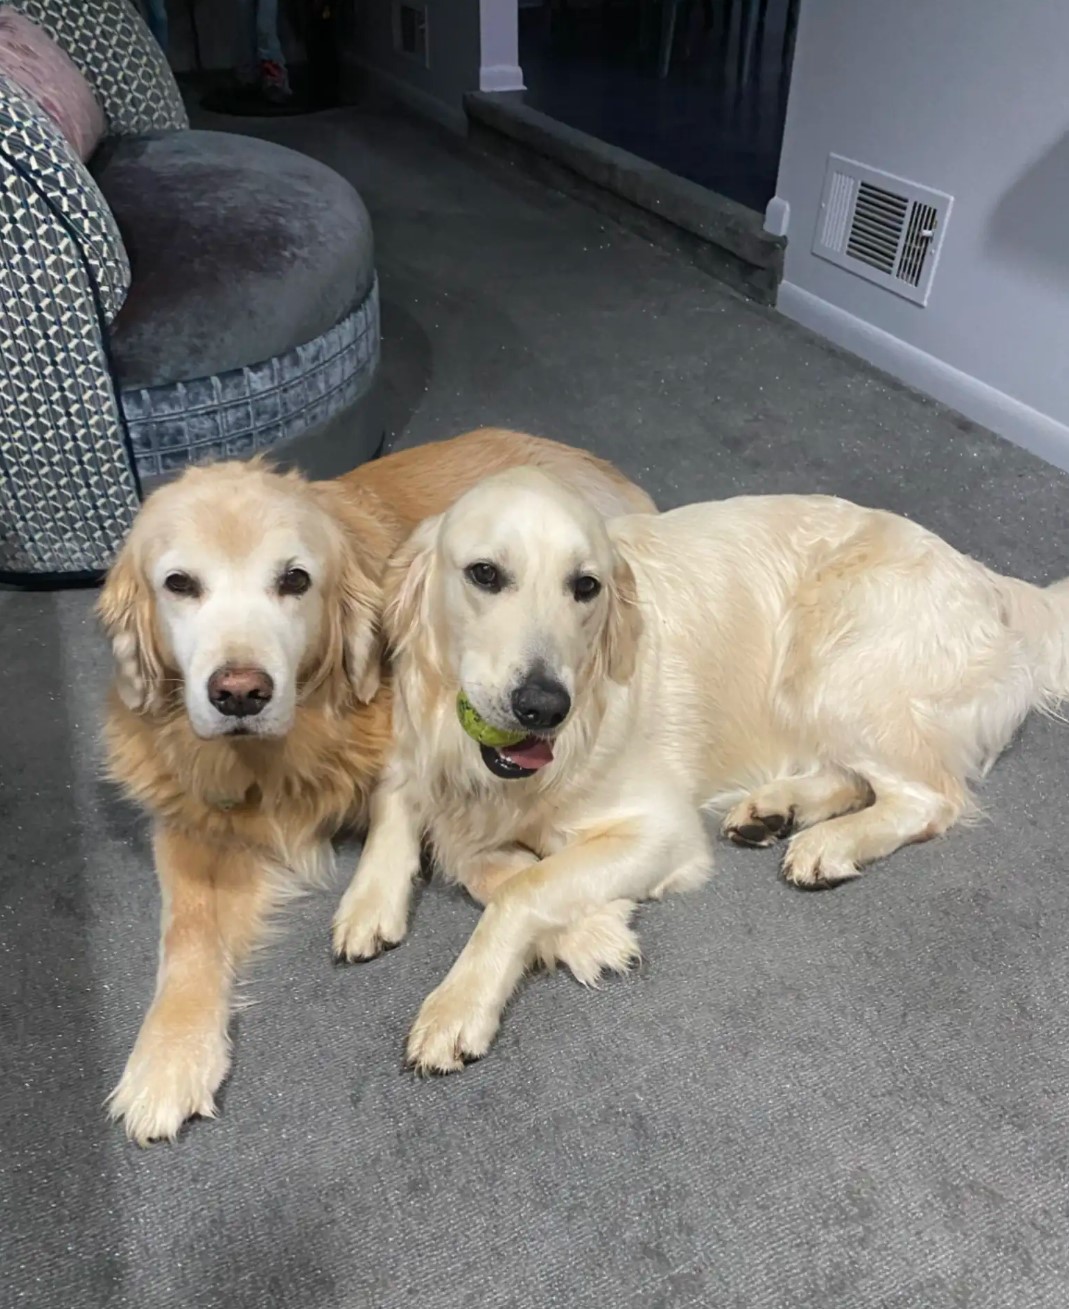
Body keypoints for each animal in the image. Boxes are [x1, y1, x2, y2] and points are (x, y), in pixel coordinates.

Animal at [98, 431, 651, 1146]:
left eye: (295, 580)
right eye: (179, 584)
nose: (240, 692)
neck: (281, 751)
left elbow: (475, 857)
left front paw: (587, 927)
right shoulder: (189, 817)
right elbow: (186, 929)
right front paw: (166, 1060)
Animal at [340, 471, 1067, 1073]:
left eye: (585, 586)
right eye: (484, 574)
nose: (544, 705)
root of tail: (986, 578)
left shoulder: (660, 830)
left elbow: (525, 886)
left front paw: (462, 1002)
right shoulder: (418, 750)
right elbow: (415, 812)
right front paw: (369, 902)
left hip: (832, 666)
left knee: (928, 796)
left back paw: (827, 843)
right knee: (853, 775)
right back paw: (775, 809)